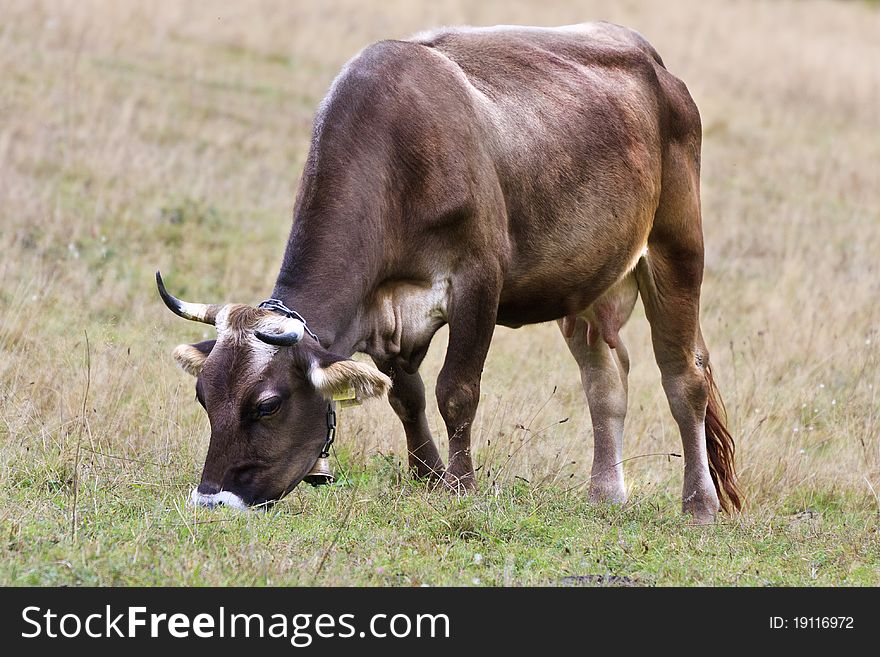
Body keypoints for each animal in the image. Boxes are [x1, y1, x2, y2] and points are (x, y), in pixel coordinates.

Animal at [160, 21, 744, 524]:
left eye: (267, 405)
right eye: (204, 396)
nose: (211, 500)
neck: (396, 160)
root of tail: (653, 61)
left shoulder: (478, 280)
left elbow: (456, 390)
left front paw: (461, 486)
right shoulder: (385, 313)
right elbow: (406, 396)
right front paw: (428, 474)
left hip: (676, 246)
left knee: (684, 377)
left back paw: (700, 505)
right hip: (587, 285)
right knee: (606, 380)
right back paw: (605, 493)